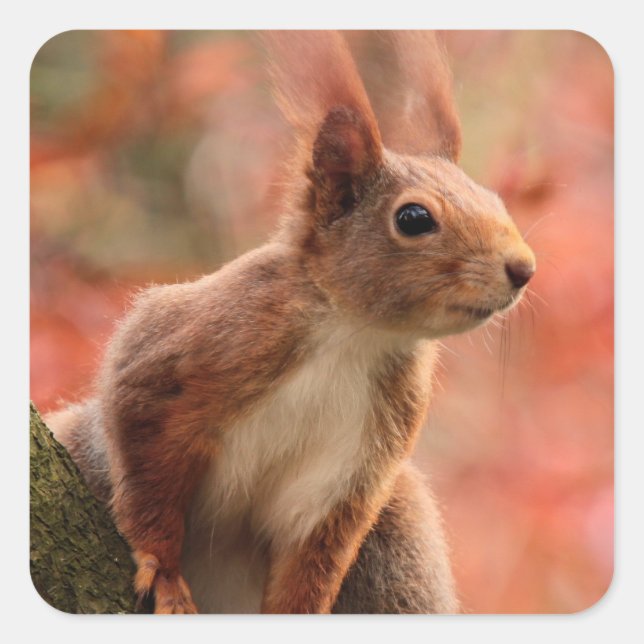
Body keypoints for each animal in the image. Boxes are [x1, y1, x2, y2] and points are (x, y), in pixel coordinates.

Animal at [44, 30, 536, 614]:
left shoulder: (354, 469)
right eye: (414, 218)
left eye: (495, 198)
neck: (355, 336)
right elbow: (146, 464)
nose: (524, 268)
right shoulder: (190, 347)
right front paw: (162, 570)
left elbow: (313, 559)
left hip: (400, 532)